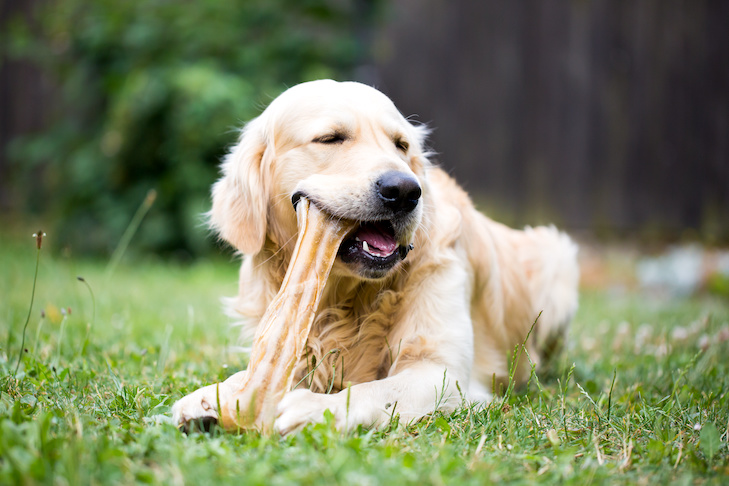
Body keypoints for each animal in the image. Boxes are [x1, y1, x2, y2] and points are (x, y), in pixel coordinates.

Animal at [172, 80, 580, 436]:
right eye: (331, 138)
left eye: (400, 144)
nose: (405, 190)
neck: (343, 298)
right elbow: (253, 372)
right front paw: (213, 396)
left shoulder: (442, 373)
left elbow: (373, 389)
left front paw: (317, 407)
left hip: (557, 260)